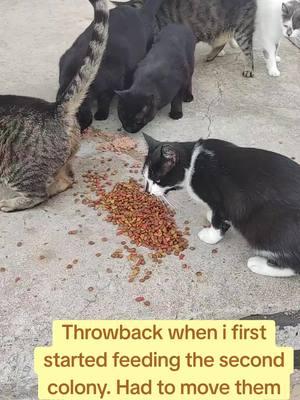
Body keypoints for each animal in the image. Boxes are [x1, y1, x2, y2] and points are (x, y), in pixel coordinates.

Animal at [111, 0, 256, 77]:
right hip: (216, 28)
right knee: (221, 42)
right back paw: (211, 55)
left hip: (241, 27)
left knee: (248, 51)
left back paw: (248, 68)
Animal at [142, 134, 300, 278]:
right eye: (145, 177)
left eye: (157, 180)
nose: (147, 191)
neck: (192, 162)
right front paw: (209, 215)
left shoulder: (221, 201)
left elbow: (218, 221)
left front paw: (210, 236)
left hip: (266, 230)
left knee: (294, 266)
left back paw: (258, 264)